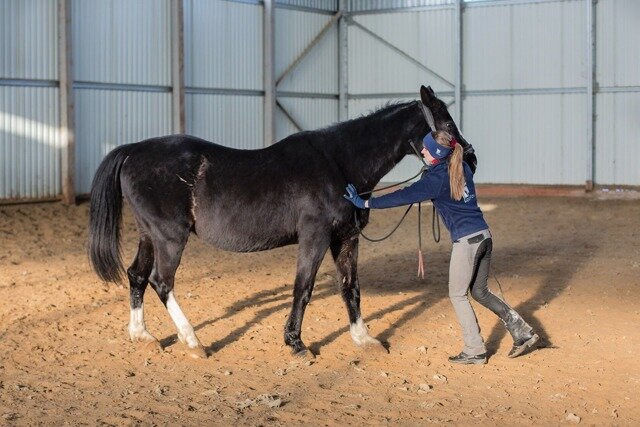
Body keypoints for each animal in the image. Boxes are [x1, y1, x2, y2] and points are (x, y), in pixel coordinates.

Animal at [87, 85, 476, 360]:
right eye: (445, 122)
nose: (471, 156)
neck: (339, 163)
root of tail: (132, 151)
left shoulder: (346, 238)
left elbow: (350, 287)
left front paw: (364, 339)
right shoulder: (315, 237)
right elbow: (303, 288)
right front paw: (296, 344)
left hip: (149, 235)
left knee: (137, 276)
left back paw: (143, 336)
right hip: (170, 238)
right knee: (161, 282)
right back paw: (194, 342)